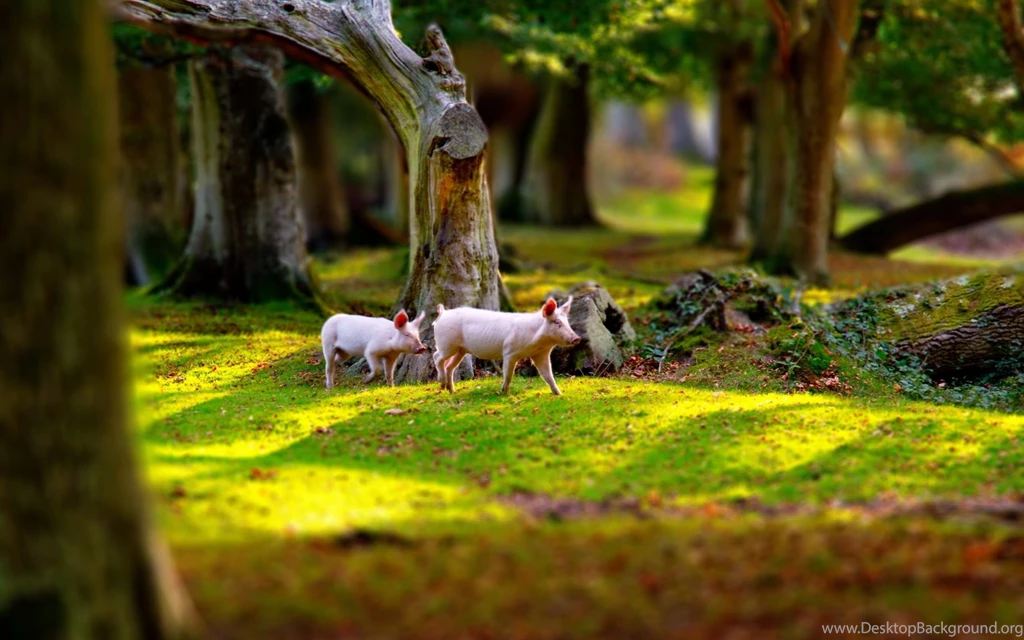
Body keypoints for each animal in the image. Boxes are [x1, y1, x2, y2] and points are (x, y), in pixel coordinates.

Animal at [432, 297, 581, 396]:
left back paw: (451, 391)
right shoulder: (509, 352)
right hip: (447, 344)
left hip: (460, 350)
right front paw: (504, 393)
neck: (537, 342)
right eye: (557, 322)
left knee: (449, 366)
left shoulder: (540, 354)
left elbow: (548, 375)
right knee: (436, 357)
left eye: (567, 322)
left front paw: (559, 394)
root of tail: (444, 313)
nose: (577, 338)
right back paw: (442, 383)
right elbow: (509, 374)